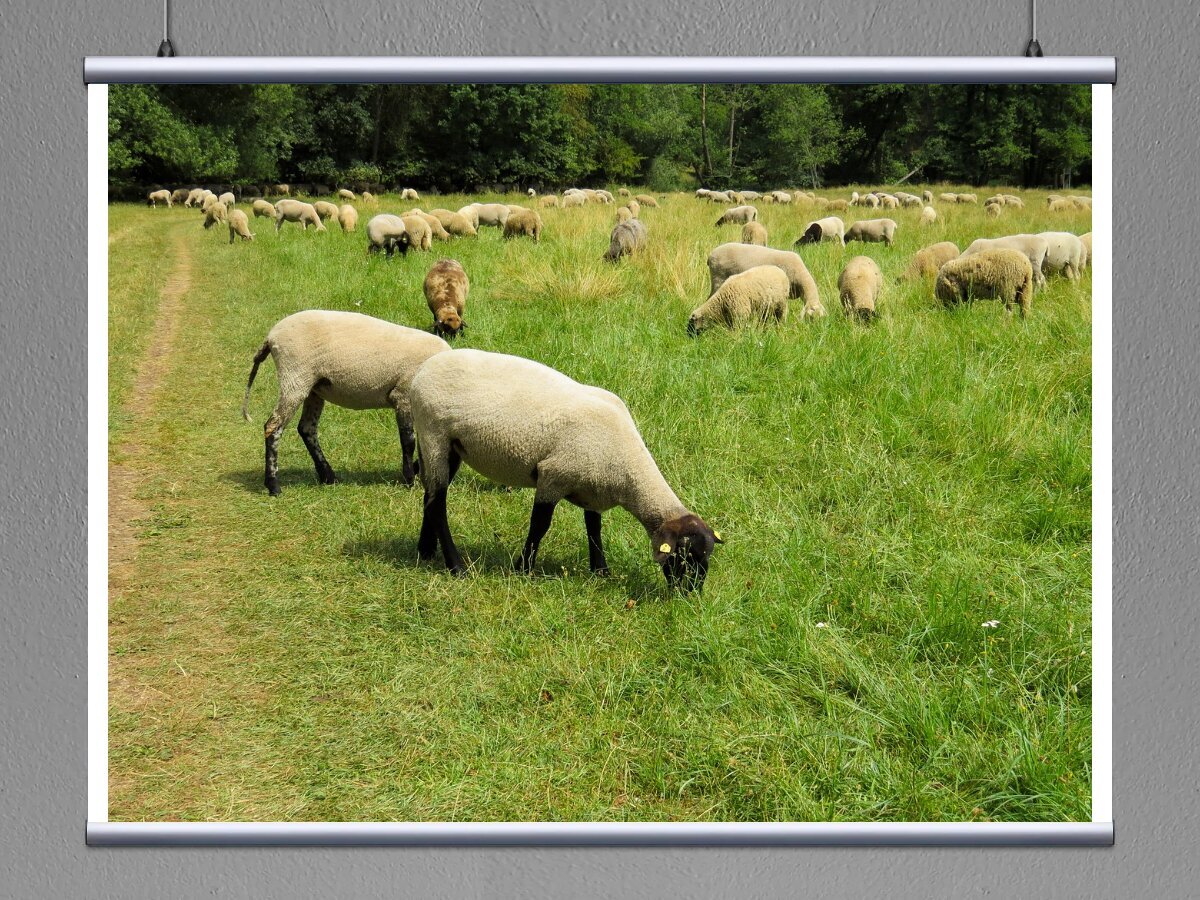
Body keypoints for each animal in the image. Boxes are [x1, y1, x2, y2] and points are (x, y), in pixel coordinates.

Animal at [238, 312, 451, 496]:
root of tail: (271, 337)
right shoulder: (403, 396)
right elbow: (408, 441)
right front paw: (409, 479)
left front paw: (418, 472)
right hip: (294, 377)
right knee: (273, 427)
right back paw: (273, 485)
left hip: (314, 387)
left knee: (306, 428)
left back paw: (328, 476)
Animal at [408, 348, 720, 592]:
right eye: (684, 557)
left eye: (706, 559)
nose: (690, 595)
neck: (627, 467)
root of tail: (422, 371)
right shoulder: (553, 476)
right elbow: (540, 525)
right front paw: (524, 568)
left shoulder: (594, 489)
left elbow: (594, 529)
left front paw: (601, 571)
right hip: (434, 434)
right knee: (437, 503)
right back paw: (456, 566)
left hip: (448, 446)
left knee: (429, 495)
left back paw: (425, 551)